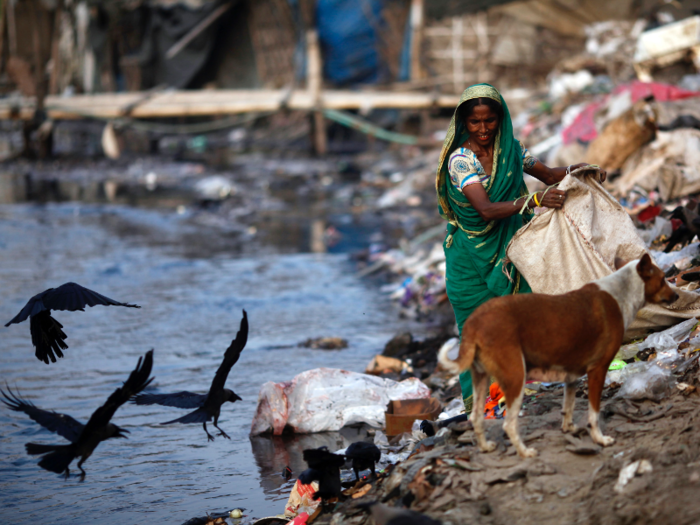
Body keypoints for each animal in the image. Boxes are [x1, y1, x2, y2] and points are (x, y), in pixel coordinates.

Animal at [438, 253, 680, 454]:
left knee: (476, 418)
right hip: (516, 377)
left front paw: (569, 429)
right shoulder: (598, 370)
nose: (677, 295)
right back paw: (525, 453)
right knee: (508, 424)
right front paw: (599, 439)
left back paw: (486, 447)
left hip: (480, 378)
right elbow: (593, 413)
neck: (622, 290)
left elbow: (568, 407)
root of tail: (473, 324)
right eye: (663, 279)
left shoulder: (571, 375)